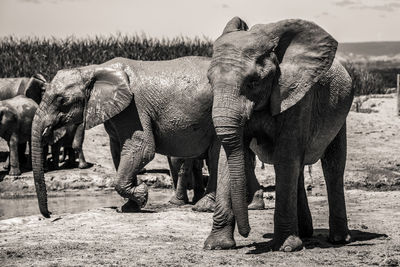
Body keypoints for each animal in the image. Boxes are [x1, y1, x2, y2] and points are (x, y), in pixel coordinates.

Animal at [30, 56, 266, 218]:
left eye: (62, 100)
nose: (50, 215)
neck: (92, 69)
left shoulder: (132, 109)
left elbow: (142, 148)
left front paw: (142, 195)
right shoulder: (116, 113)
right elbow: (119, 153)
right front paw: (130, 207)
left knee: (217, 153)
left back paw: (204, 207)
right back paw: (252, 205)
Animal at [205, 17, 354, 253]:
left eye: (253, 82)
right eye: (210, 82)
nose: (246, 234)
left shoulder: (298, 96)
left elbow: (285, 155)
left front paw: (286, 247)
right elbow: (227, 157)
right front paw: (216, 246)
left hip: (341, 112)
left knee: (332, 166)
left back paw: (338, 239)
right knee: (298, 166)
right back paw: (305, 233)